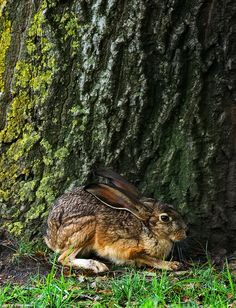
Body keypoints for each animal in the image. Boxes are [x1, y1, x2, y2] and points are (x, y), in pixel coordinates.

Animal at [44, 168, 188, 272]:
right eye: (165, 218)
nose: (186, 232)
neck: (148, 230)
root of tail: (52, 238)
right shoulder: (128, 248)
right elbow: (148, 258)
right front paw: (172, 265)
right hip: (86, 227)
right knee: (64, 258)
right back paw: (97, 266)